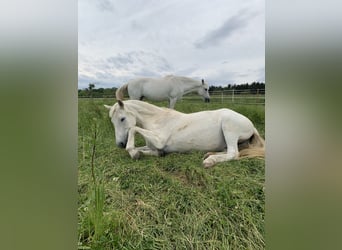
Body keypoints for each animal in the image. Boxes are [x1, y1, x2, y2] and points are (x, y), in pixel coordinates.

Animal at [104, 99, 264, 168]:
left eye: (122, 119)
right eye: (112, 121)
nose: (120, 144)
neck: (157, 119)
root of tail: (251, 125)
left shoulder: (159, 140)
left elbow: (133, 129)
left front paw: (132, 152)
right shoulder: (153, 146)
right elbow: (146, 149)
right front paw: (138, 152)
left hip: (229, 127)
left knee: (233, 153)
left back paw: (209, 161)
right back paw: (209, 154)